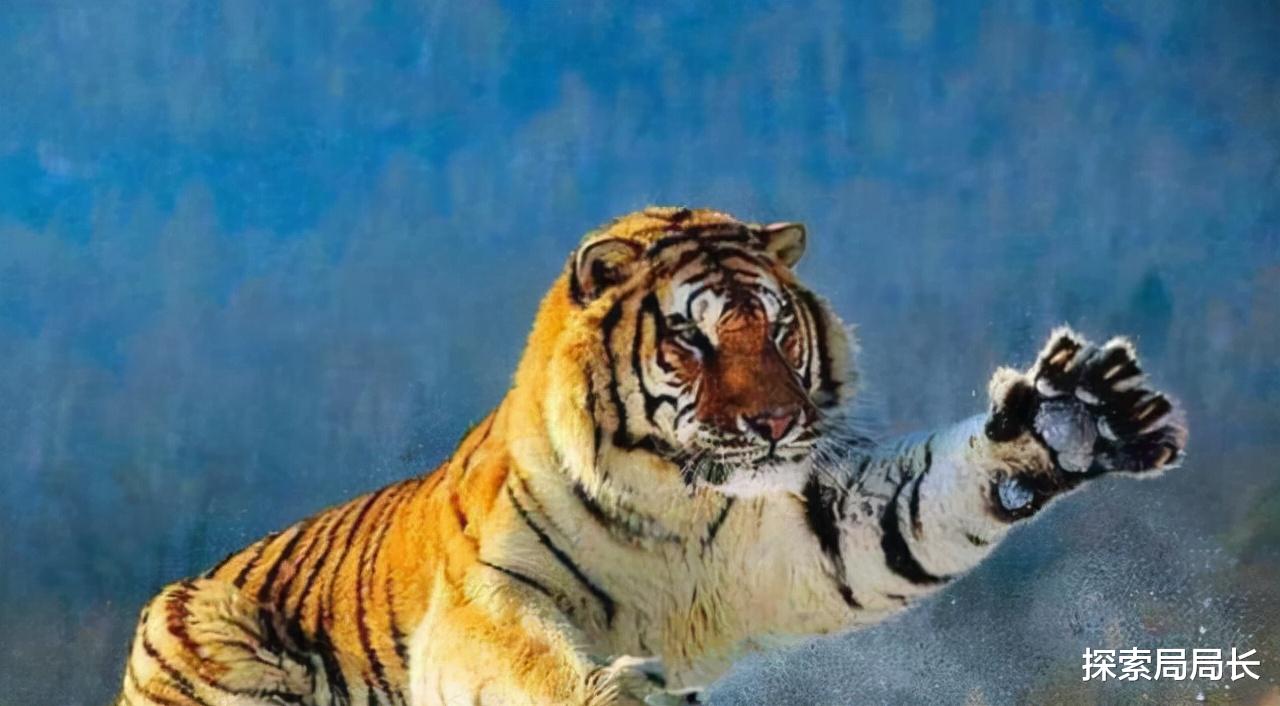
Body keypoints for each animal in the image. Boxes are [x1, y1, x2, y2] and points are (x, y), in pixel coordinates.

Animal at [114, 206, 1187, 706]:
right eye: (693, 339)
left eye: (777, 329)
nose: (776, 422)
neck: (680, 503)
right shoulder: (487, 594)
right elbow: (532, 657)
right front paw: (623, 689)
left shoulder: (816, 526)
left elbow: (919, 509)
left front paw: (1074, 418)